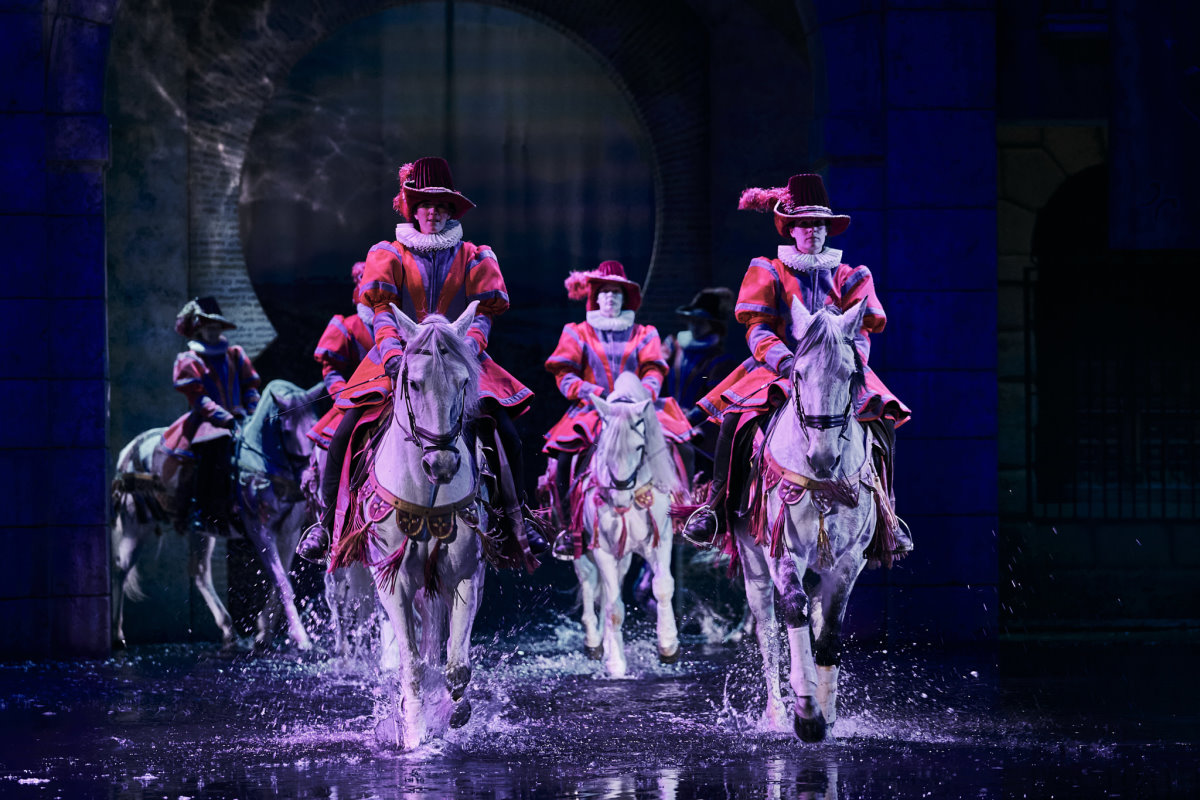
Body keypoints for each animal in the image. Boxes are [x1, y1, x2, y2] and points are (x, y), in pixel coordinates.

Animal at [109, 381, 319, 652]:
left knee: (199, 572)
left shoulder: (289, 533)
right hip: (134, 526)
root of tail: (130, 449)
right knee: (120, 570)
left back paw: (229, 631)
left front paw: (264, 632)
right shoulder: (260, 531)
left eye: (313, 425)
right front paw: (301, 637)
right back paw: (117, 634)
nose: (307, 478)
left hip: (199, 531)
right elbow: (282, 582)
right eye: (287, 430)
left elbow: (280, 580)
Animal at [336, 302, 484, 753]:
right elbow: (412, 664)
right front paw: (415, 731)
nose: (442, 463)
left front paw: (452, 711)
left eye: (464, 381)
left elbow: (455, 665)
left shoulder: (466, 575)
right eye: (414, 383)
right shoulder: (394, 583)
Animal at [573, 369, 686, 676]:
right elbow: (614, 609)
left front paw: (668, 646)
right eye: (605, 448)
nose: (621, 495)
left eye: (639, 447)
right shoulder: (602, 550)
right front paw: (615, 663)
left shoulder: (660, 540)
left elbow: (663, 587)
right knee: (589, 585)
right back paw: (595, 642)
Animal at [734, 299, 888, 743]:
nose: (822, 458)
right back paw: (776, 714)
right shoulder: (780, 548)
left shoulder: (849, 560)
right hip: (753, 565)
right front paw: (806, 714)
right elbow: (794, 609)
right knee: (768, 631)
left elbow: (830, 630)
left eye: (851, 375)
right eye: (798, 373)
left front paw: (827, 711)